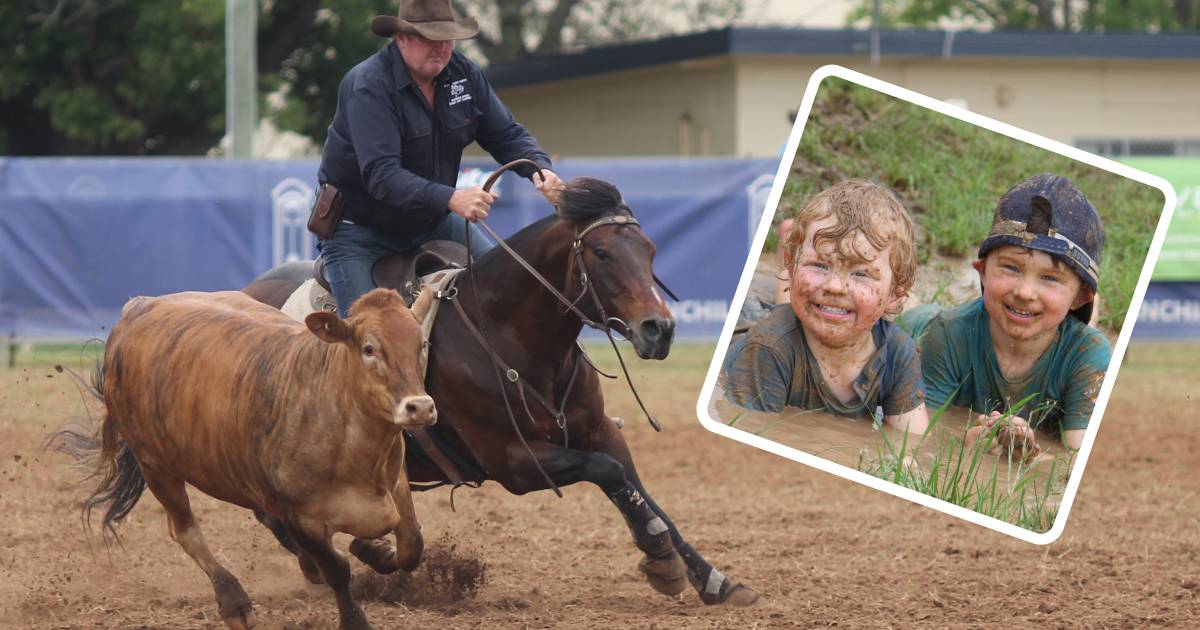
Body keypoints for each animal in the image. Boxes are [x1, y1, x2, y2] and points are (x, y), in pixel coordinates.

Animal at [81, 286, 436, 624]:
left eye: (421, 344)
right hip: (156, 466)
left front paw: (375, 551)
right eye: (369, 348)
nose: (419, 407)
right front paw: (353, 619)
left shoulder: (396, 485)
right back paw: (233, 600)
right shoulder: (301, 517)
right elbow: (337, 570)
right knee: (186, 532)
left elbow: (412, 545)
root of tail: (138, 307)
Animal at [241, 174, 758, 607]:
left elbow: (638, 489)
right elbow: (608, 472)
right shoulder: (513, 461)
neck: (510, 335)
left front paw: (709, 577)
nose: (659, 330)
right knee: (275, 516)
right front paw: (658, 552)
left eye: (649, 250)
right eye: (601, 253)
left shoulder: (599, 432)